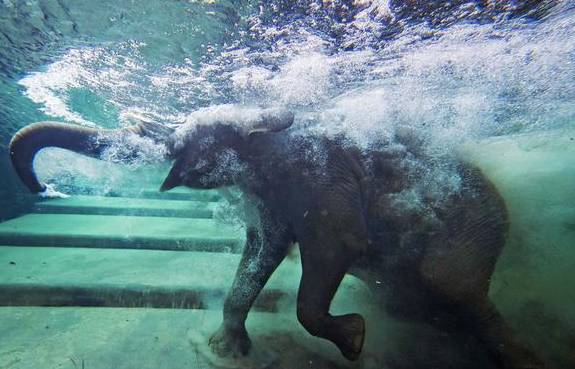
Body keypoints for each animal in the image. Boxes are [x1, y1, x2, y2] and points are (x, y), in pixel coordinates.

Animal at [7, 107, 544, 368]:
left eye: (187, 139)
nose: (45, 188)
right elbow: (262, 249)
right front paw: (225, 350)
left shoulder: (325, 176)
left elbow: (337, 246)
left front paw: (355, 342)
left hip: (473, 230)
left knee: (453, 287)